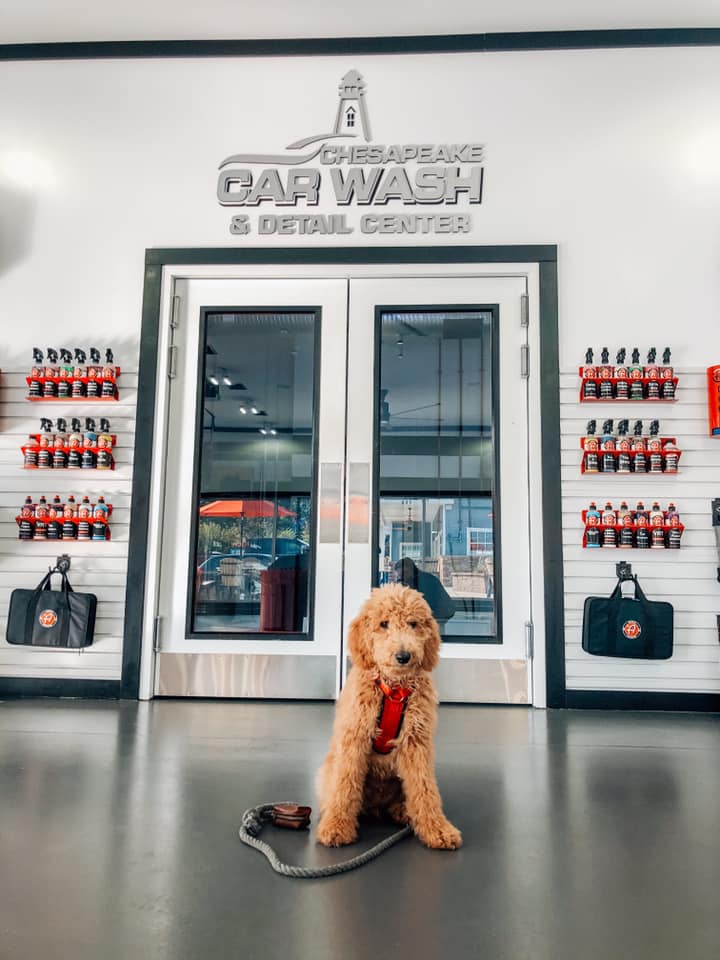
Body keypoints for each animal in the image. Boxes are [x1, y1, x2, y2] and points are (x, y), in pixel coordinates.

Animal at [316, 583, 462, 850]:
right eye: (384, 624)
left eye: (413, 623)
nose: (403, 656)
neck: (394, 690)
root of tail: (377, 806)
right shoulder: (355, 739)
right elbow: (345, 786)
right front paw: (336, 827)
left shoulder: (416, 743)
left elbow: (425, 789)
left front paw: (438, 829)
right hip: (329, 767)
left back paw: (404, 811)